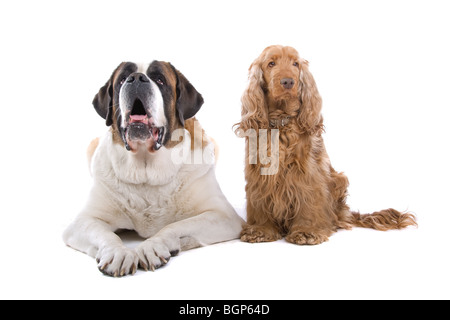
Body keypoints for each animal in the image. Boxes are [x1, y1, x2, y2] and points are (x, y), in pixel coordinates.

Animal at [63, 61, 243, 276]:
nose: (136, 79)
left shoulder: (224, 217)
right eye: (122, 79)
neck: (146, 171)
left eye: (160, 79)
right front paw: (117, 252)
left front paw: (152, 246)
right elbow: (106, 235)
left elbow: (175, 226)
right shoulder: (82, 222)